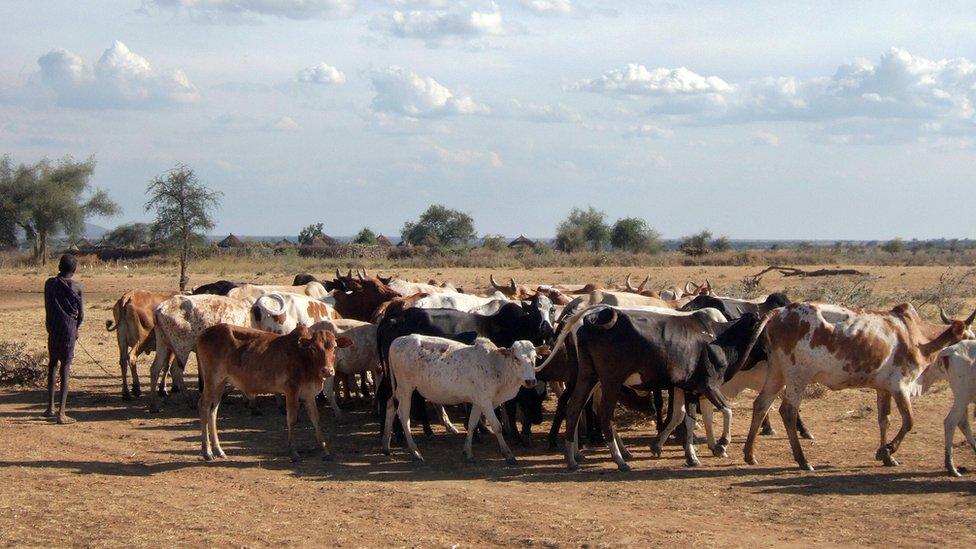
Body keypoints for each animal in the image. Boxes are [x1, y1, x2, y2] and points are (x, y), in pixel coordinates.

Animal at [194, 324, 350, 460]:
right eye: (313, 348)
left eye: (335, 347)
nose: (327, 371)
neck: (305, 358)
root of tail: (204, 333)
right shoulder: (291, 390)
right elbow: (292, 419)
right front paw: (293, 452)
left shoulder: (309, 394)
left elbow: (316, 421)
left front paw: (326, 450)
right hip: (212, 379)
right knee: (203, 406)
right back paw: (207, 452)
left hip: (221, 383)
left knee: (213, 411)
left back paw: (218, 450)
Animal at [376, 296, 552, 440]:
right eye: (535, 311)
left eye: (552, 309)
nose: (547, 329)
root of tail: (392, 319)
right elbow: (507, 406)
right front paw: (512, 434)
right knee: (393, 397)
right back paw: (399, 436)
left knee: (387, 395)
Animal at [382, 334, 548, 462]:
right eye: (516, 358)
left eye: (534, 358)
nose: (530, 381)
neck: (495, 365)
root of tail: (397, 341)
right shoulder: (486, 401)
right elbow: (497, 427)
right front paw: (508, 455)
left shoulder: (478, 402)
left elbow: (472, 424)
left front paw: (468, 452)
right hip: (406, 388)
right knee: (404, 416)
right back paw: (415, 452)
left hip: (400, 389)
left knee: (390, 405)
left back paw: (386, 447)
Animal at [564, 306, 764, 468]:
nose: (767, 353)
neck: (716, 336)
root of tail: (590, 322)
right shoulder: (708, 385)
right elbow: (726, 410)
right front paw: (721, 444)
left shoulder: (688, 388)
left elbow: (687, 418)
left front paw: (690, 456)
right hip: (611, 381)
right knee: (604, 414)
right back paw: (619, 459)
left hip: (589, 378)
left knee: (574, 408)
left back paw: (572, 459)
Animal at [744, 302, 972, 468]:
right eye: (969, 336)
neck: (916, 337)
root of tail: (780, 312)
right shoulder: (900, 386)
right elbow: (909, 421)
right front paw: (888, 449)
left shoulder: (883, 388)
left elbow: (884, 420)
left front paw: (887, 456)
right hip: (797, 377)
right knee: (788, 411)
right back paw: (803, 460)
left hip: (777, 374)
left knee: (761, 404)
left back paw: (749, 454)